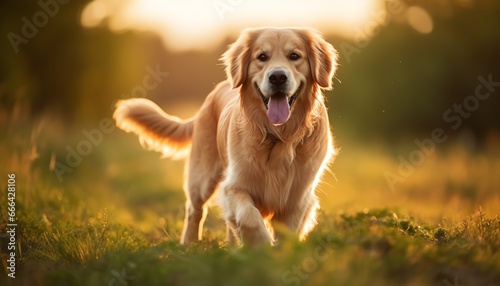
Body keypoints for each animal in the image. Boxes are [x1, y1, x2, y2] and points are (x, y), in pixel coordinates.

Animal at [114, 27, 336, 246]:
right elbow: (249, 216)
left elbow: (287, 234)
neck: (277, 135)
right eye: (262, 57)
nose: (278, 77)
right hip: (202, 177)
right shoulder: (233, 186)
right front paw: (260, 247)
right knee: (194, 210)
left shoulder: (298, 198)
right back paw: (188, 245)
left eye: (294, 56)